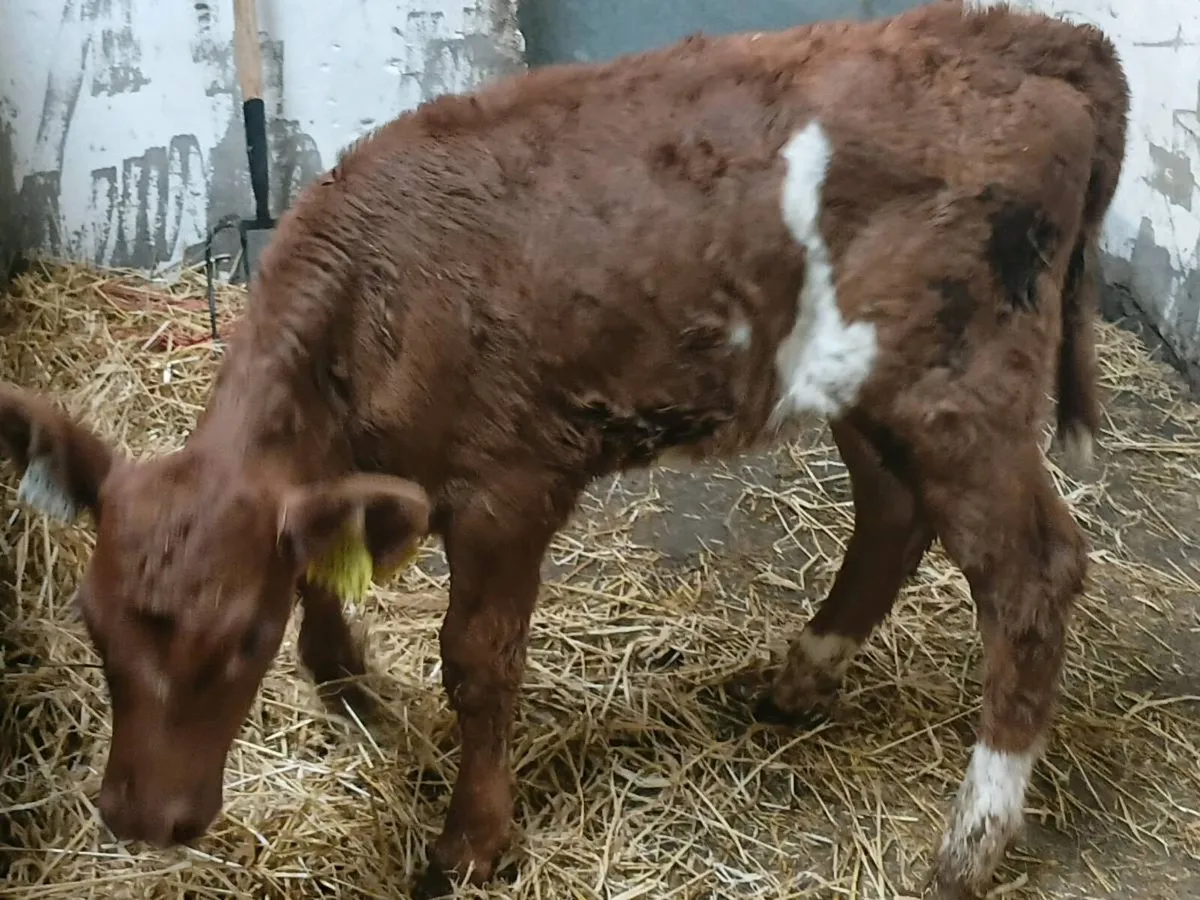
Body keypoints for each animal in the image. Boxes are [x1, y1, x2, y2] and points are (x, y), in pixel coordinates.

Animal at [0, 2, 1128, 897]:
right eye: (92, 627)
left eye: (239, 643)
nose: (143, 819)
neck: (376, 305)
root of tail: (1031, 35)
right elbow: (326, 563)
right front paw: (346, 683)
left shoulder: (510, 488)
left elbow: (477, 660)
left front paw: (472, 838)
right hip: (863, 378)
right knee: (894, 512)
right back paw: (801, 677)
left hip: (961, 382)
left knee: (1032, 570)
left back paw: (971, 841)